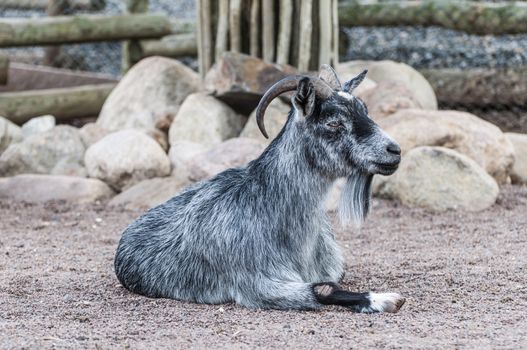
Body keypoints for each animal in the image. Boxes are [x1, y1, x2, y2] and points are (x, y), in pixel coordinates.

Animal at [114, 64, 404, 314]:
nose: (394, 150)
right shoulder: (257, 284)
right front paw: (385, 298)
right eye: (333, 123)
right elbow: (323, 289)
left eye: (364, 109)